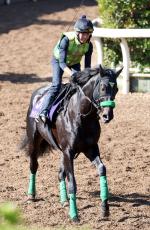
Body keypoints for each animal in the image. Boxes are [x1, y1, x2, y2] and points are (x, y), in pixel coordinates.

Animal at [22, 64, 123, 221]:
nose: (108, 115)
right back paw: (31, 195)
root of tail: (37, 94)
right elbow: (72, 182)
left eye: (116, 88)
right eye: (103, 87)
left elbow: (102, 169)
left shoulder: (90, 148)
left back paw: (64, 200)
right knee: (34, 165)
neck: (81, 116)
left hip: (62, 152)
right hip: (34, 141)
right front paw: (74, 214)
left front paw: (105, 209)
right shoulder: (68, 151)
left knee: (60, 173)